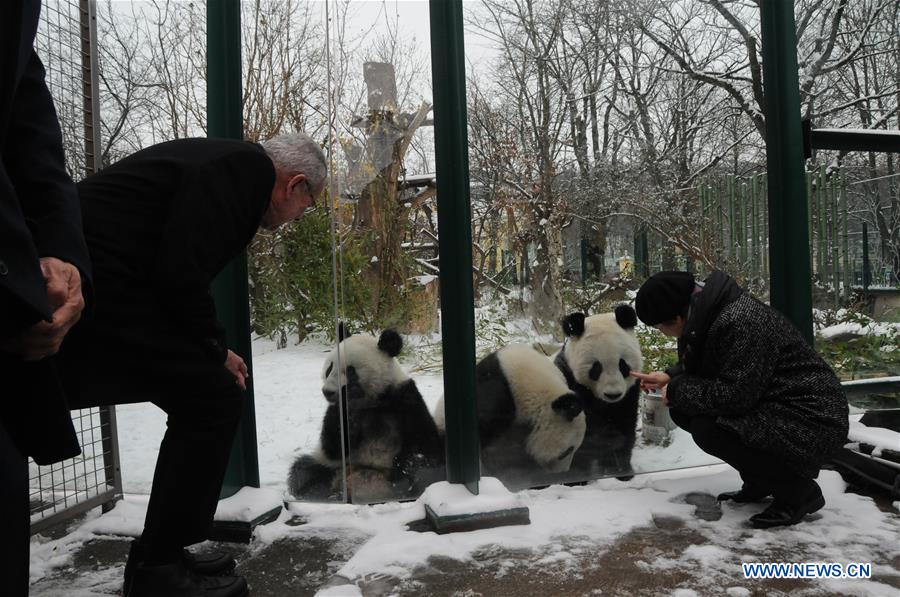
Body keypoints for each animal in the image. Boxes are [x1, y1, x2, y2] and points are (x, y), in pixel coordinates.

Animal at [288, 328, 442, 500]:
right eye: (329, 368)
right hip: (333, 466)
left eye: (351, 371)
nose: (328, 392)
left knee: (423, 474)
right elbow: (332, 447)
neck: (372, 401)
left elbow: (423, 445)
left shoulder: (405, 399)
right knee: (304, 471)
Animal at [552, 304, 644, 482]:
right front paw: (577, 479)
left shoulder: (629, 394)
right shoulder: (570, 381)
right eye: (596, 368)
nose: (613, 394)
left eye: (623, 365)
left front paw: (622, 472)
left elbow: (624, 426)